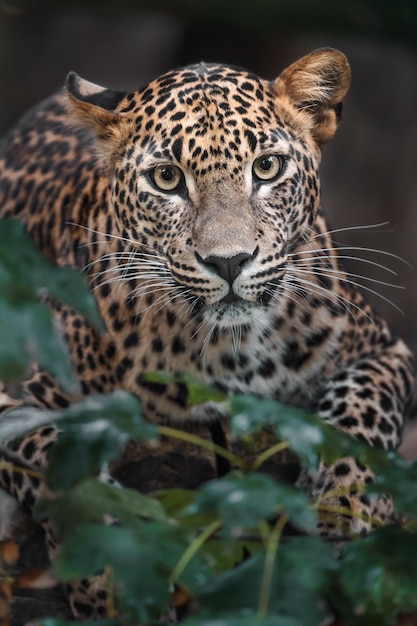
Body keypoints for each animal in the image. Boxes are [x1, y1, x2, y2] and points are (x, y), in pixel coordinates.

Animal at [0, 46, 412, 616]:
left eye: (267, 167)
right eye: (167, 179)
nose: (230, 261)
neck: (229, 351)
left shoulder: (382, 349)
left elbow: (361, 415)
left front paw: (345, 505)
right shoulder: (22, 398)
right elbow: (69, 479)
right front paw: (117, 577)